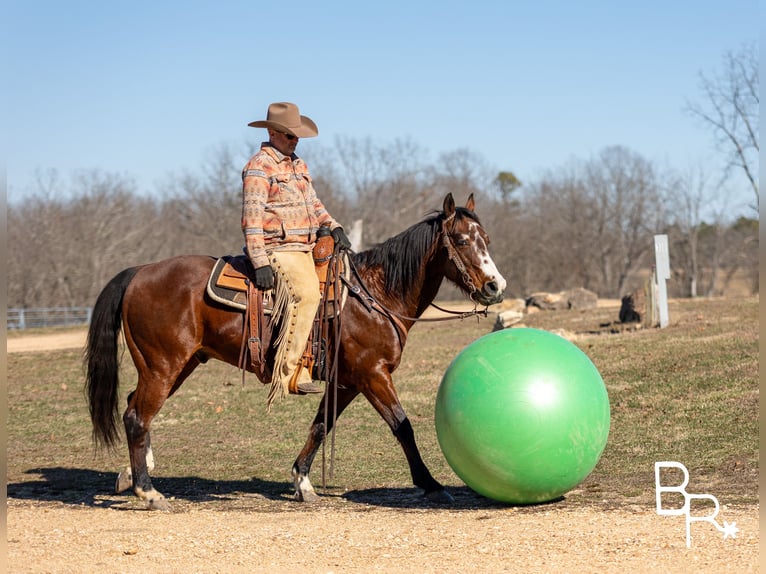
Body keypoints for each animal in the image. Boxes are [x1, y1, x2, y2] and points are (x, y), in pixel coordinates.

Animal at [87, 195, 508, 512]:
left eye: (487, 237)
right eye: (462, 240)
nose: (495, 286)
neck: (374, 295)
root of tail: (139, 271)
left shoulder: (347, 382)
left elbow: (321, 426)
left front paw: (302, 481)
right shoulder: (373, 374)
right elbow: (402, 426)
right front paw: (432, 484)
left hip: (178, 365)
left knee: (135, 409)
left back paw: (132, 475)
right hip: (163, 366)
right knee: (137, 416)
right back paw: (148, 491)